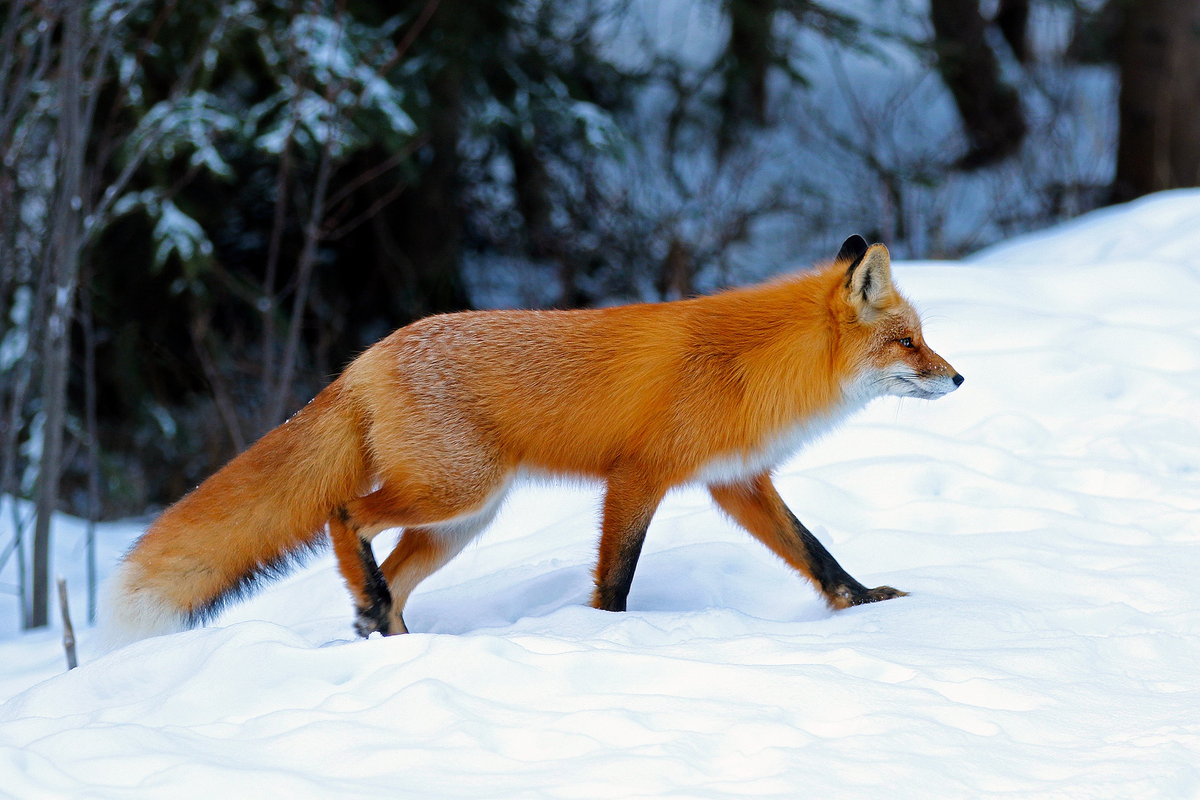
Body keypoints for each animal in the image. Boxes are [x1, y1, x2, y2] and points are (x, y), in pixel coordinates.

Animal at [103, 235, 964, 647]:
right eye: (909, 343)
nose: (958, 379)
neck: (752, 366)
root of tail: (365, 359)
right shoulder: (638, 478)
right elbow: (615, 579)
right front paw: (607, 639)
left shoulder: (736, 481)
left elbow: (817, 555)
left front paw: (865, 604)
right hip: (456, 493)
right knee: (343, 515)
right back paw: (372, 607)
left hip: (458, 522)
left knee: (392, 576)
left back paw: (388, 635)